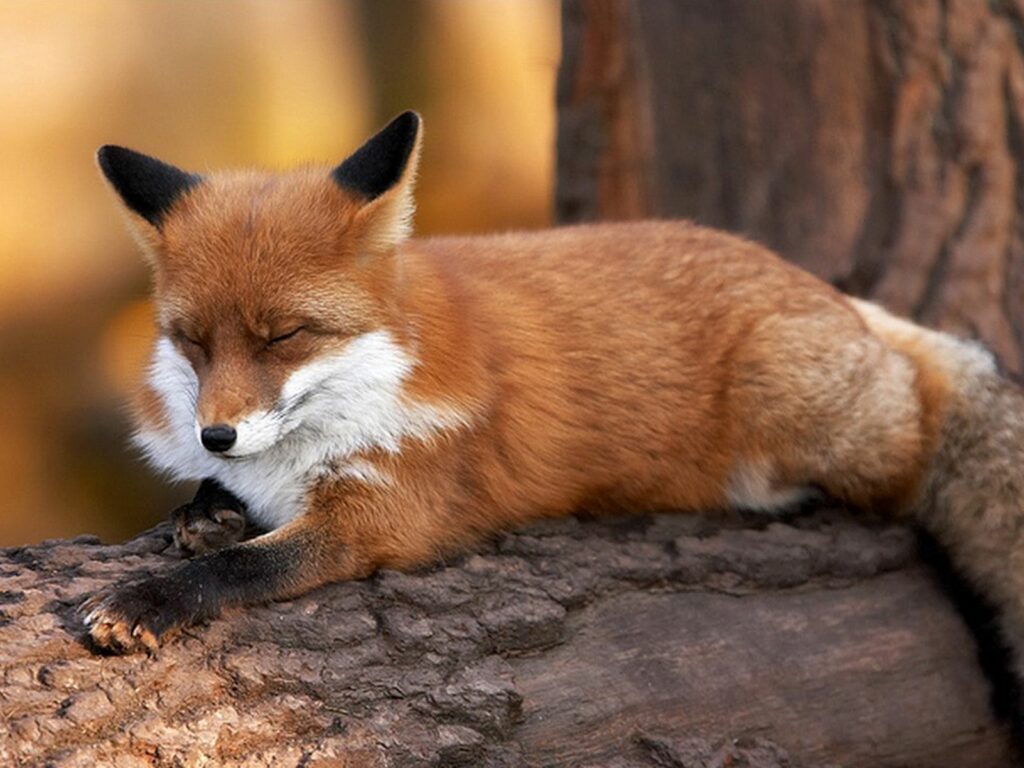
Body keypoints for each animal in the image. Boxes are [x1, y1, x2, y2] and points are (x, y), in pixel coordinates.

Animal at [82, 112, 1024, 677]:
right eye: (192, 342)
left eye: (284, 336)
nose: (216, 437)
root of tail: (832, 294)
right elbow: (219, 520)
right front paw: (206, 507)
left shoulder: (383, 518)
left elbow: (244, 566)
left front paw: (148, 600)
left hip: (797, 399)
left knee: (911, 450)